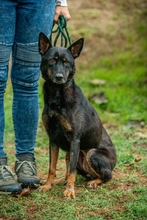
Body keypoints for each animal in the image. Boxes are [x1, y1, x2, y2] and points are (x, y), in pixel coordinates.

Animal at [38, 33, 116, 199]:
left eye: (66, 62)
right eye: (52, 61)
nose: (59, 77)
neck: (57, 94)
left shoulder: (74, 139)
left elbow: (72, 170)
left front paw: (69, 191)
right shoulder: (53, 139)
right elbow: (52, 167)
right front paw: (48, 185)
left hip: (91, 153)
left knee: (107, 176)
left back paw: (93, 182)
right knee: (69, 167)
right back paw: (61, 180)